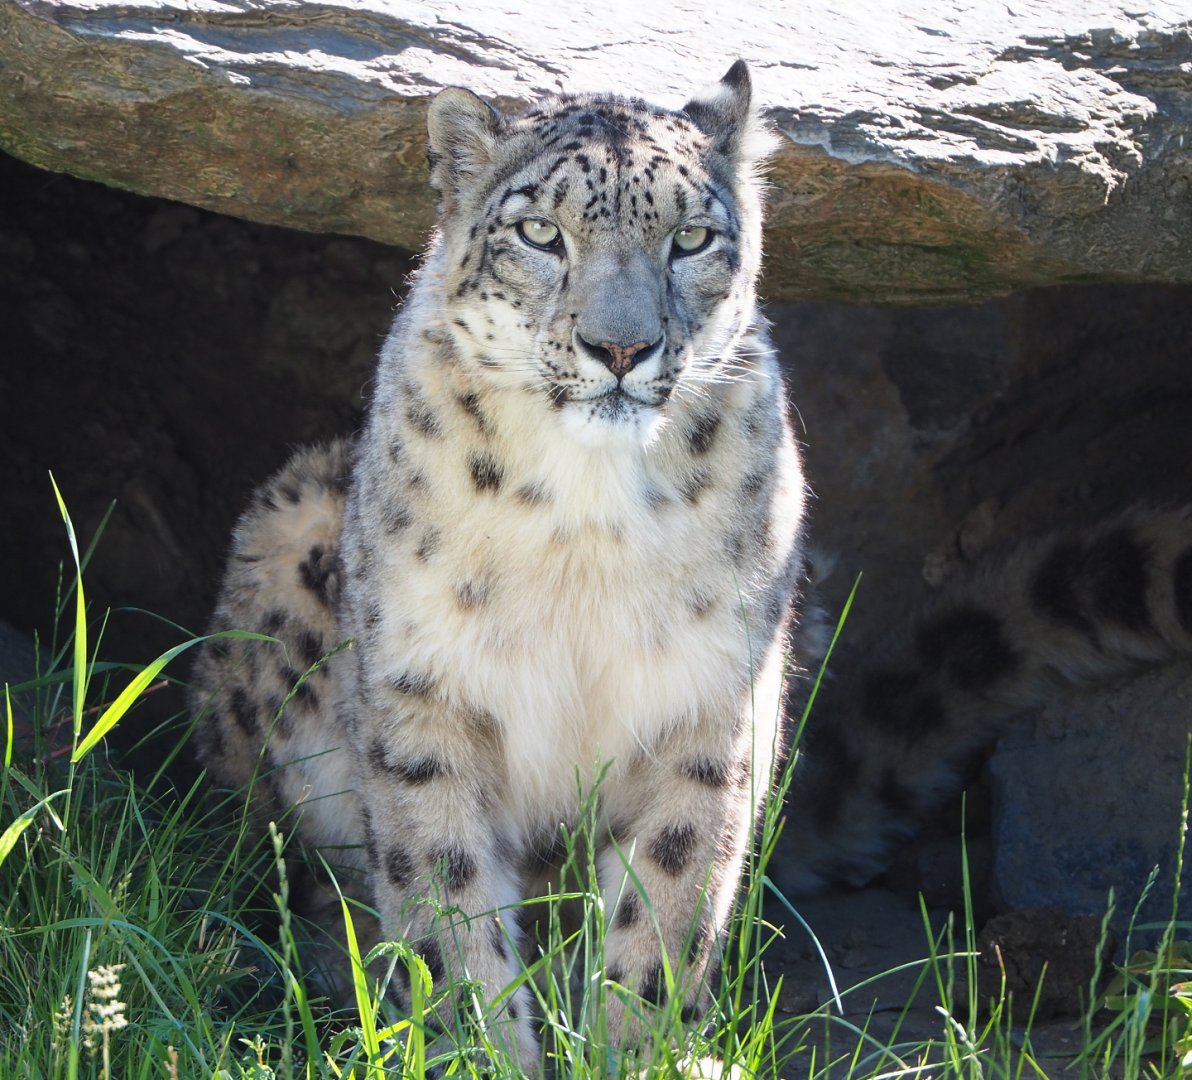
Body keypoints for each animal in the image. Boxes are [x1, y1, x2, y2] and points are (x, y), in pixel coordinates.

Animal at [191, 60, 806, 1070]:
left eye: (691, 239)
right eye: (539, 233)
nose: (621, 347)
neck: (586, 528)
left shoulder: (708, 703)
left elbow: (670, 900)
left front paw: (633, 1051)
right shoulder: (426, 691)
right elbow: (445, 900)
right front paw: (478, 1050)